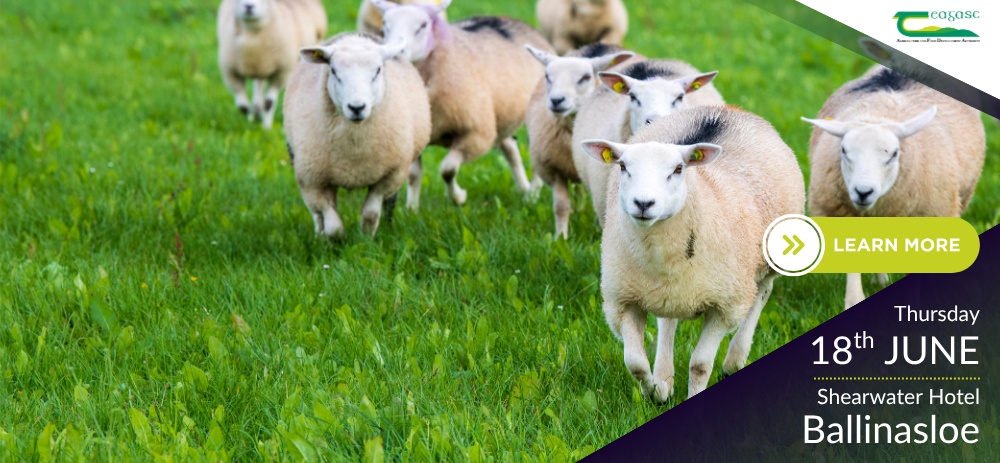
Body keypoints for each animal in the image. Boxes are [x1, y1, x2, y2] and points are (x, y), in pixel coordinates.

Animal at [217, 0, 327, 129]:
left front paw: (266, 127)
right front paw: (250, 123)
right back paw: (257, 110)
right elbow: (243, 107)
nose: (249, 6)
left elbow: (269, 103)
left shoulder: (280, 73)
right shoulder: (231, 73)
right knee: (258, 84)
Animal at [284, 33, 432, 239]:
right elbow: (333, 226)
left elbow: (370, 215)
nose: (356, 107)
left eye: (378, 70)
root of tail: (354, 35)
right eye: (333, 71)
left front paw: (367, 239)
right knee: (317, 215)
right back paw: (319, 236)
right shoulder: (313, 180)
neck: (355, 150)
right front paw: (336, 242)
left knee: (390, 202)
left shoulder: (389, 176)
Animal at [374, 0, 556, 205]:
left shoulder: (477, 134)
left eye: (423, 25)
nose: (398, 51)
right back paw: (524, 189)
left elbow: (447, 169)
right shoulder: (416, 138)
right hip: (499, 116)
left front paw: (458, 198)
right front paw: (411, 208)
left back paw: (532, 195)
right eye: (384, 25)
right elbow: (413, 175)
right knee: (510, 146)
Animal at [524, 43, 638, 238]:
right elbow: (561, 205)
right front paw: (561, 238)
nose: (556, 100)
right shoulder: (554, 169)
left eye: (585, 77)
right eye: (547, 76)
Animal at [580, 106, 805, 400]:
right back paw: (664, 377)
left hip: (765, 264)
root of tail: (724, 110)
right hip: (669, 291)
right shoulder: (623, 300)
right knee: (667, 321)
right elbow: (635, 363)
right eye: (623, 167)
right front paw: (655, 393)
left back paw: (734, 360)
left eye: (678, 169)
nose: (643, 203)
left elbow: (700, 364)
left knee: (760, 296)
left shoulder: (725, 306)